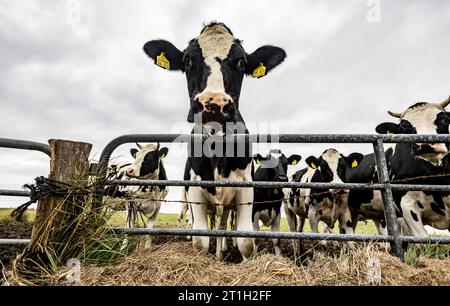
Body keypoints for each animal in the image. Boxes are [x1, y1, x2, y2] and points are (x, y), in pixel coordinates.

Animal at [142, 22, 286, 260]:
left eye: (241, 62)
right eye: (187, 60)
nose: (214, 103)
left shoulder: (245, 188)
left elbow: (246, 241)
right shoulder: (195, 190)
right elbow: (200, 239)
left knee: (221, 224)